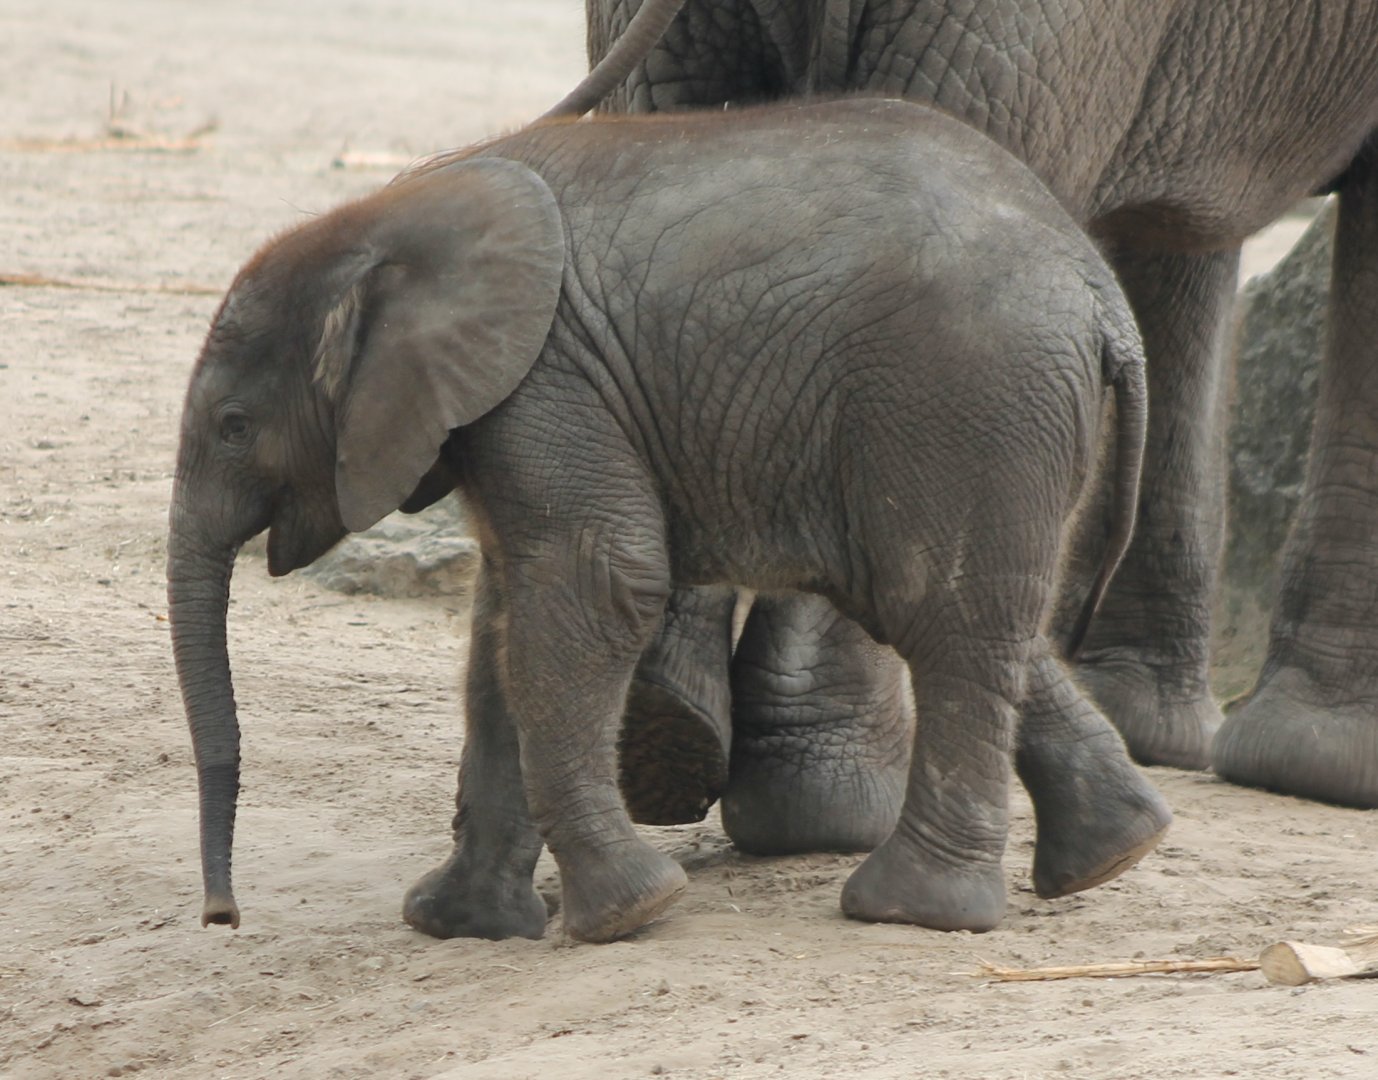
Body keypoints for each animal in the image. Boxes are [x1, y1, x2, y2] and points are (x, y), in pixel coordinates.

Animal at [167, 95, 1171, 942]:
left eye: (233, 426)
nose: (223, 916)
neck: (387, 216)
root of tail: (1099, 292)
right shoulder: (502, 404)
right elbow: (506, 621)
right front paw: (462, 925)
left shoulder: (545, 378)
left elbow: (596, 584)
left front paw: (629, 916)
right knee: (959, 610)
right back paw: (1115, 852)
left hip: (964, 394)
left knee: (944, 615)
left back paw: (909, 911)